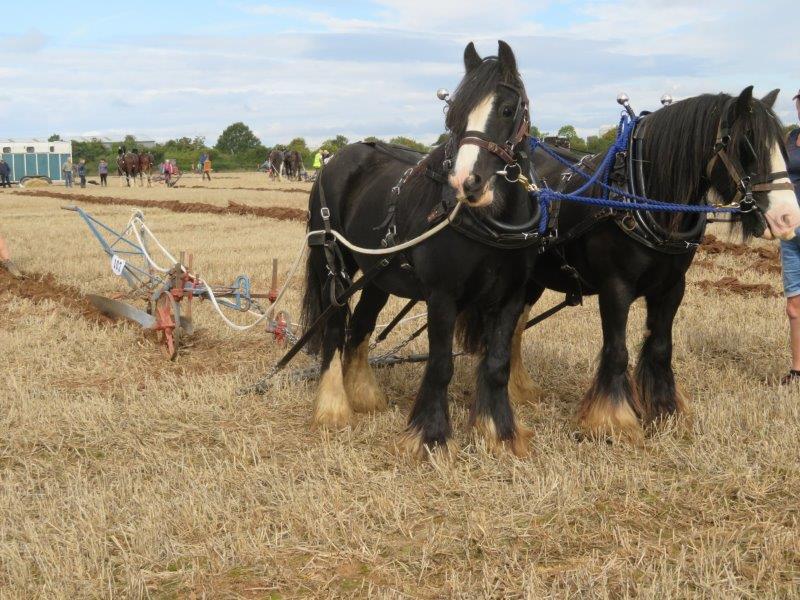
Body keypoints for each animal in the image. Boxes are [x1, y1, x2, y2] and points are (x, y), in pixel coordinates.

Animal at [304, 42, 540, 458]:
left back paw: (364, 396)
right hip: (335, 263)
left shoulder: (511, 296)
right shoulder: (442, 296)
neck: (491, 223)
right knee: (334, 326)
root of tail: (334, 158)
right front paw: (430, 434)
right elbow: (441, 365)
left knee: (360, 326)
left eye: (508, 109)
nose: (466, 182)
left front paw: (500, 431)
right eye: (454, 115)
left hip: (378, 275)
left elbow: (497, 364)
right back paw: (333, 407)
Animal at [512, 86, 800, 440]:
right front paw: (610, 420)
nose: (788, 218)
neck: (642, 195)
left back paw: (519, 389)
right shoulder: (615, 288)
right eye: (746, 144)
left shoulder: (672, 287)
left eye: (782, 147)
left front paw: (664, 410)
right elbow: (617, 351)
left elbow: (661, 347)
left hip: (533, 281)